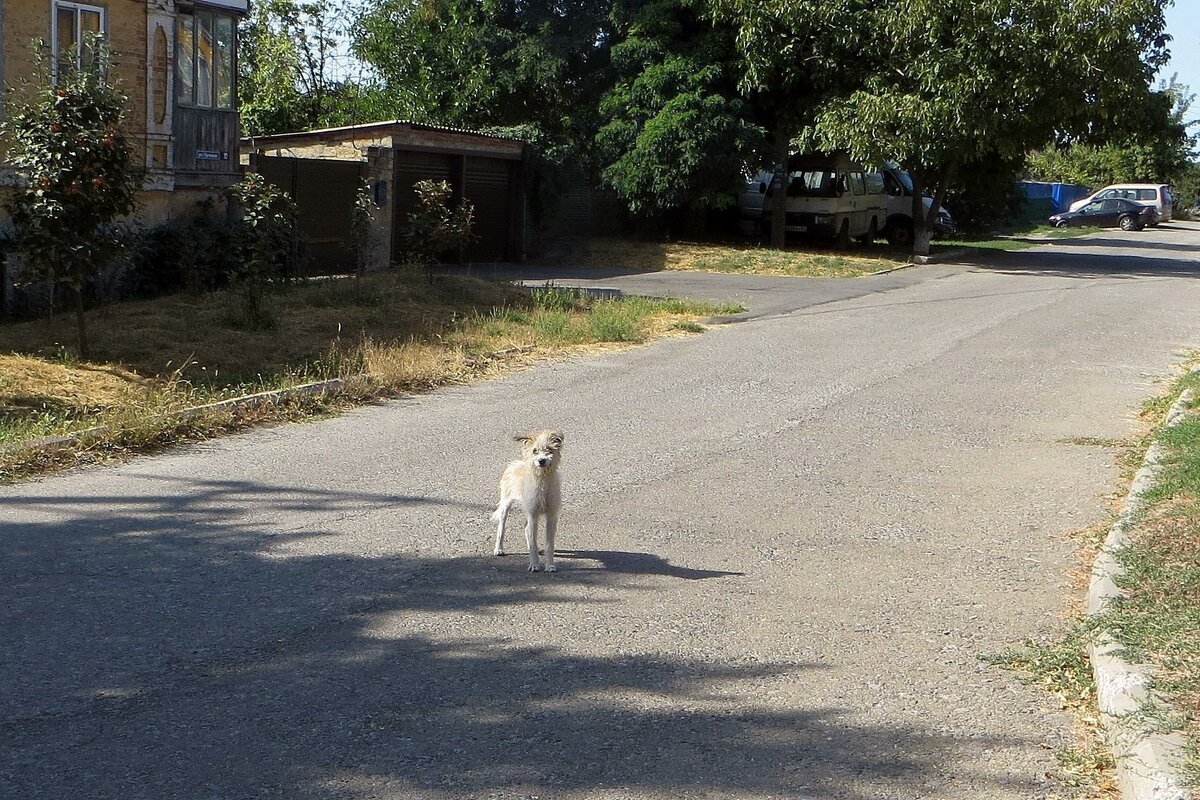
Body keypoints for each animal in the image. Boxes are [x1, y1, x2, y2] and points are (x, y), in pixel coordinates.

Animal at [489, 434, 564, 573]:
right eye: (535, 451)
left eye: (549, 450)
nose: (541, 461)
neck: (542, 479)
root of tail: (514, 464)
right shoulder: (533, 514)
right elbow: (533, 543)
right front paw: (534, 565)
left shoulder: (551, 516)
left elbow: (549, 544)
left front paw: (550, 566)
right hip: (506, 505)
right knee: (502, 527)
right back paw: (499, 549)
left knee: (525, 527)